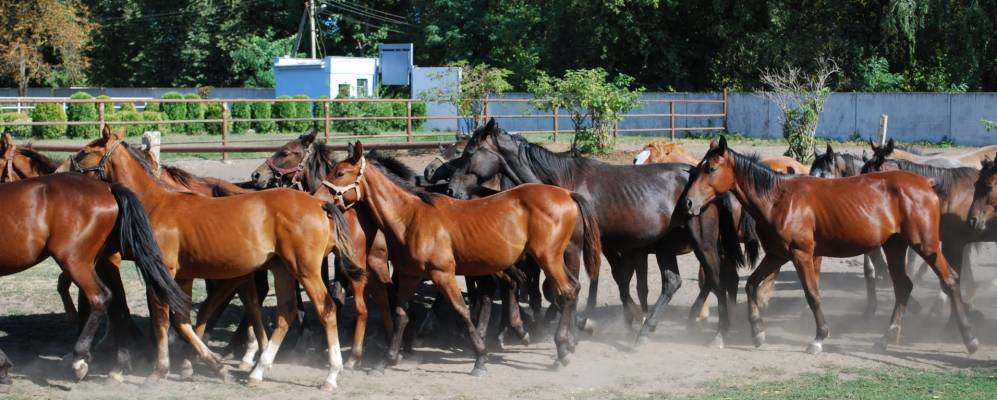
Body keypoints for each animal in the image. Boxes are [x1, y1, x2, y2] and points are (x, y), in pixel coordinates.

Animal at [69, 126, 358, 390]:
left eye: (85, 152)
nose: (66, 171)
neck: (155, 204)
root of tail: (318, 203)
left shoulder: (162, 274)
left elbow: (162, 319)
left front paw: (159, 371)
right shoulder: (183, 277)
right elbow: (183, 320)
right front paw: (213, 366)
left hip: (305, 270)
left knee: (326, 309)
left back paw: (331, 375)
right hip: (282, 269)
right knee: (286, 313)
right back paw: (257, 371)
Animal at [320, 141, 600, 376]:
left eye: (340, 173)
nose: (320, 201)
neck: (410, 216)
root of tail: (567, 194)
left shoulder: (443, 274)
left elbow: (463, 312)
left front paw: (480, 359)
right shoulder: (410, 274)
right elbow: (400, 313)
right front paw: (385, 361)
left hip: (548, 258)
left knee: (566, 292)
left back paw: (561, 351)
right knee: (572, 288)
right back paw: (566, 343)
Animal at [444, 119, 756, 346]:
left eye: (469, 153)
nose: (451, 189)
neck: (563, 184)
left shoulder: (579, 247)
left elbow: (577, 286)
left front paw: (580, 325)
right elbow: (598, 283)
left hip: (703, 243)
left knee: (717, 279)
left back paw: (718, 332)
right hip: (666, 248)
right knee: (673, 282)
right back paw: (647, 330)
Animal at [680, 136, 976, 354]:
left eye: (711, 168)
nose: (689, 203)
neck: (779, 198)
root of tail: (926, 182)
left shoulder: (801, 255)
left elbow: (812, 294)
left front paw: (819, 338)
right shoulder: (776, 255)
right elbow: (752, 285)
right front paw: (758, 332)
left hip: (926, 245)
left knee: (950, 280)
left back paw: (969, 338)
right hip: (894, 247)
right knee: (904, 287)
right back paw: (885, 338)